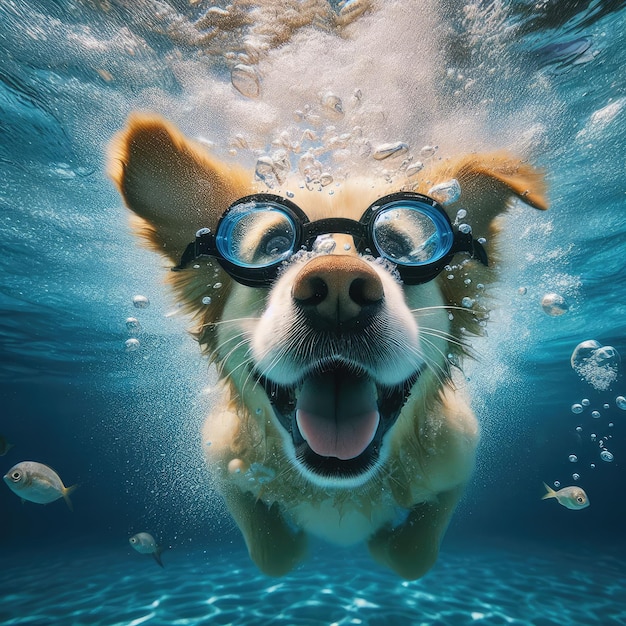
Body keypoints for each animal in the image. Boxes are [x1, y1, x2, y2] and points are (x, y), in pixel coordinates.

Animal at [108, 112, 544, 576]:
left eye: (397, 245)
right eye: (274, 245)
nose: (337, 287)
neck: (339, 481)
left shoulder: (457, 458)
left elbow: (412, 556)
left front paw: (382, 541)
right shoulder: (225, 462)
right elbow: (273, 554)